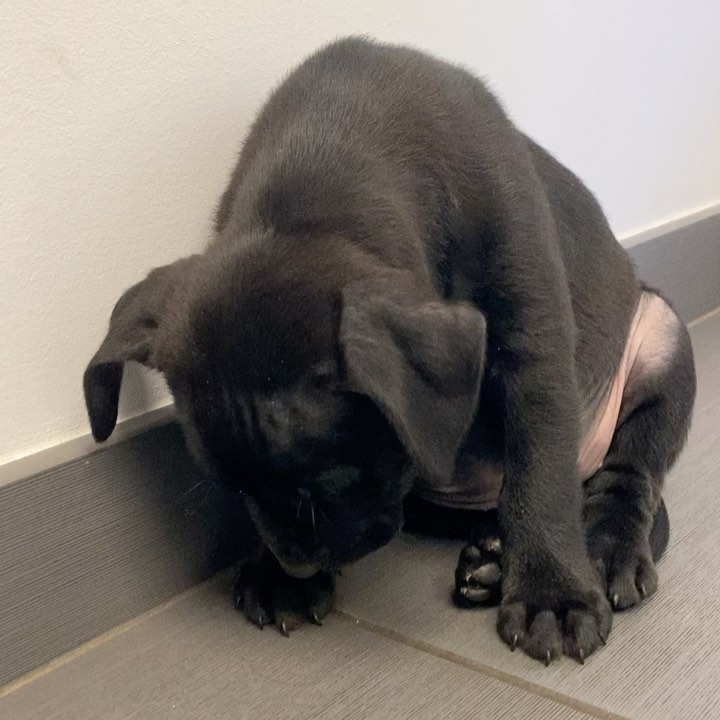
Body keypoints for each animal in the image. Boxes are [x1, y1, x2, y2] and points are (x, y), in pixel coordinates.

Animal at [83, 38, 692, 664]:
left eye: (330, 482)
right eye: (237, 490)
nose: (295, 567)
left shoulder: (534, 340)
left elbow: (540, 468)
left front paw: (554, 592)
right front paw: (273, 576)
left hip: (661, 335)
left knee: (627, 474)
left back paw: (598, 550)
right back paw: (495, 560)